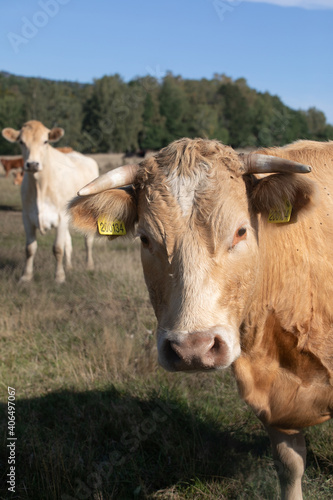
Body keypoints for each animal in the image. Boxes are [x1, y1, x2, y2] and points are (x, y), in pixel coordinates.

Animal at [2, 119, 98, 284]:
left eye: (45, 141)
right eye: (21, 141)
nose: (32, 164)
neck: (40, 186)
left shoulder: (60, 217)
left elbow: (57, 248)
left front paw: (59, 277)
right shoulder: (27, 217)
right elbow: (30, 248)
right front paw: (26, 277)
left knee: (88, 240)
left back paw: (89, 265)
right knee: (68, 241)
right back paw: (69, 266)